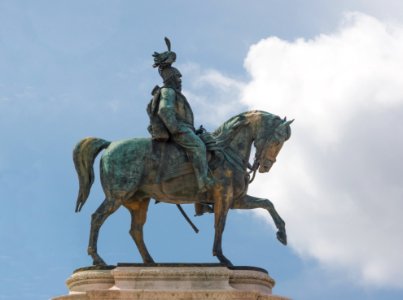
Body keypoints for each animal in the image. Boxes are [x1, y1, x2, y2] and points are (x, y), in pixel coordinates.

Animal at [73, 109, 294, 264]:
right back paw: (98, 259)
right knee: (97, 218)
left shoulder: (237, 200)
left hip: (138, 202)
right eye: (277, 139)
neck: (228, 151)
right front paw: (221, 257)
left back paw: (150, 262)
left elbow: (267, 203)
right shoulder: (223, 197)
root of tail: (109, 144)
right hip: (117, 196)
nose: (266, 166)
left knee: (135, 230)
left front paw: (282, 234)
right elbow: (220, 224)